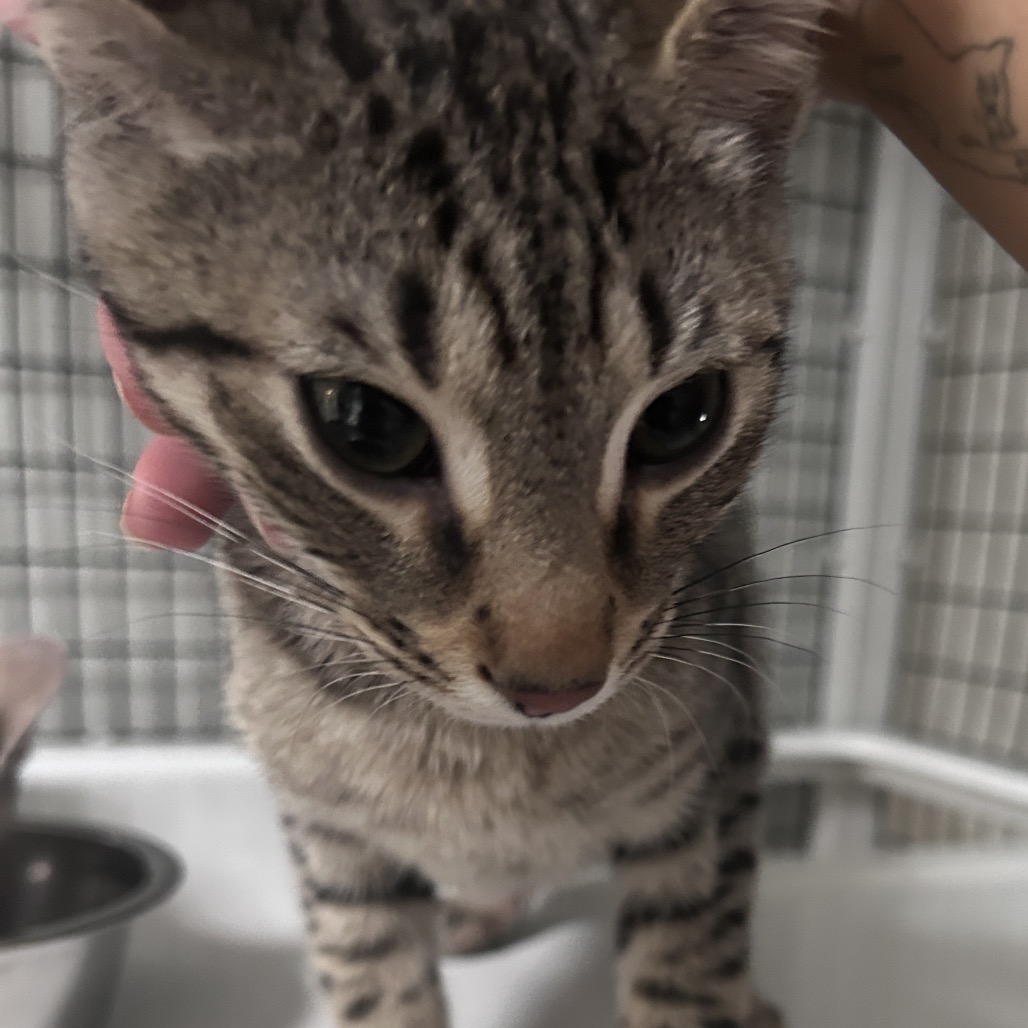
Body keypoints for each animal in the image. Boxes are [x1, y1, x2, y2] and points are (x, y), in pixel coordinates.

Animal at [26, 1, 825, 1025]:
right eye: (365, 425)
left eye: (684, 416)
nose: (556, 688)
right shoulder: (329, 834)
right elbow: (373, 972)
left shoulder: (710, 779)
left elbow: (688, 962)